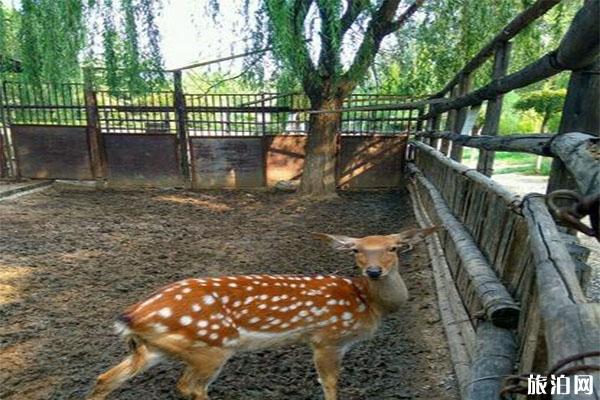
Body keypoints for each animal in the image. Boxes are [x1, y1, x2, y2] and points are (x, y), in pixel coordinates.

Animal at [86, 227, 438, 398]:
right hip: (210, 347)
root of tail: (130, 317)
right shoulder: (327, 338)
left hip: (154, 349)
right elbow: (329, 384)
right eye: (356, 250)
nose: (374, 271)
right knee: (190, 387)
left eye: (393, 248)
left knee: (105, 378)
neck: (368, 303)